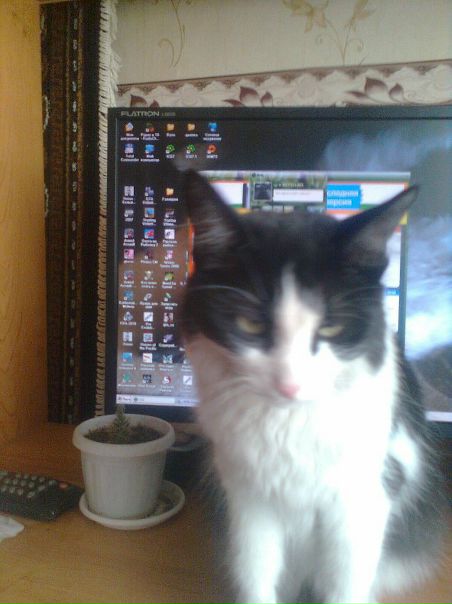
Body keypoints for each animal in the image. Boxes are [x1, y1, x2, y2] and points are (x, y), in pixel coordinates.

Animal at [181, 171, 446, 604]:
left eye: (331, 328)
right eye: (251, 324)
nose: (290, 384)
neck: (288, 424)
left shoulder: (361, 502)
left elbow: (345, 585)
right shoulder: (249, 501)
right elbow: (255, 574)